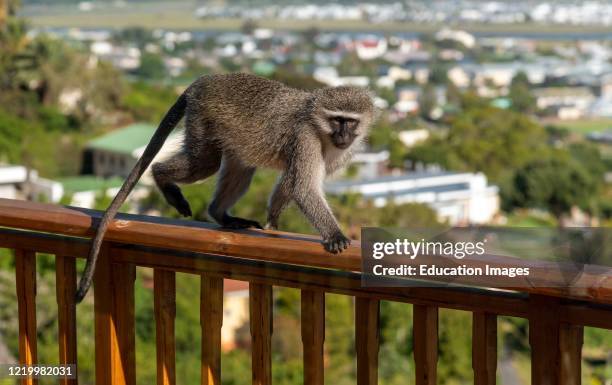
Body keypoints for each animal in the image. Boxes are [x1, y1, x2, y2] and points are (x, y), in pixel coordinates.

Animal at [74, 72, 376, 300]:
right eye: (337, 119)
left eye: (351, 122)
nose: (343, 135)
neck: (320, 128)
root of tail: (206, 80)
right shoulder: (305, 138)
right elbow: (303, 187)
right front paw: (334, 235)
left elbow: (290, 184)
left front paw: (273, 221)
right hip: (203, 119)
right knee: (202, 163)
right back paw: (163, 179)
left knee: (240, 167)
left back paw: (221, 214)